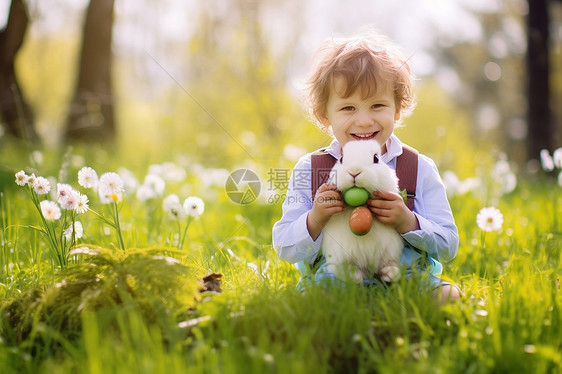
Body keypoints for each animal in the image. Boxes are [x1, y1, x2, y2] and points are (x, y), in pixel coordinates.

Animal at [320, 140, 402, 284]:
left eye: (376, 159)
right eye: (341, 159)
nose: (354, 172)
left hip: (389, 251)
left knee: (387, 264)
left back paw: (390, 274)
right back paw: (355, 278)